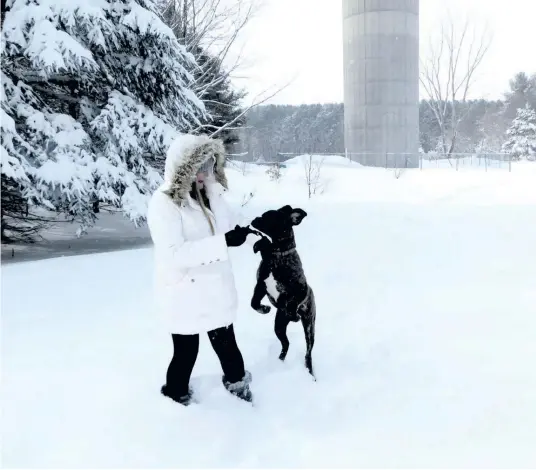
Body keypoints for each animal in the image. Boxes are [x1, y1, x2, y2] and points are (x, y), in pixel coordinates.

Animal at [249, 206, 316, 378]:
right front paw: (264, 309)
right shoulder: (261, 285)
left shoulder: (300, 290)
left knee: (308, 352)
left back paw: (309, 371)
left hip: (309, 327)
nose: (256, 218)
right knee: (286, 343)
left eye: (268, 217)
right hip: (279, 326)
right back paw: (279, 361)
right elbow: (253, 303)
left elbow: (292, 302)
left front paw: (293, 314)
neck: (276, 254)